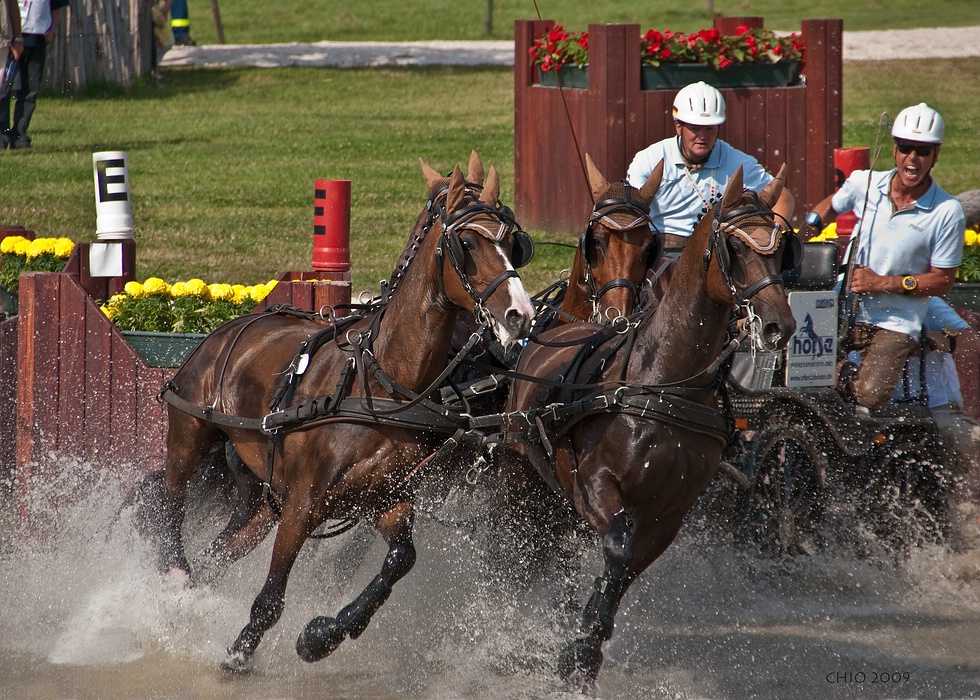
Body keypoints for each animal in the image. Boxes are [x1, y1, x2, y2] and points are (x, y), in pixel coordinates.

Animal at [156, 154, 532, 672]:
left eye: (514, 243)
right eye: (468, 242)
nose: (520, 314)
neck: (382, 380)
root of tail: (233, 325)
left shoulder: (386, 500)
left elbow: (400, 560)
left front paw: (323, 634)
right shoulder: (303, 504)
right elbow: (271, 598)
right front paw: (240, 653)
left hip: (262, 499)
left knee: (216, 554)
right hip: (191, 433)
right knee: (172, 502)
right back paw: (173, 575)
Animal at [506, 165, 796, 684]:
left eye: (782, 248)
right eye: (734, 246)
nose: (778, 326)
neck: (665, 386)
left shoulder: (669, 516)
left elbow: (623, 572)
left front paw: (585, 644)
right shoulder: (596, 487)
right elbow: (619, 550)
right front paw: (579, 645)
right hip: (519, 483)